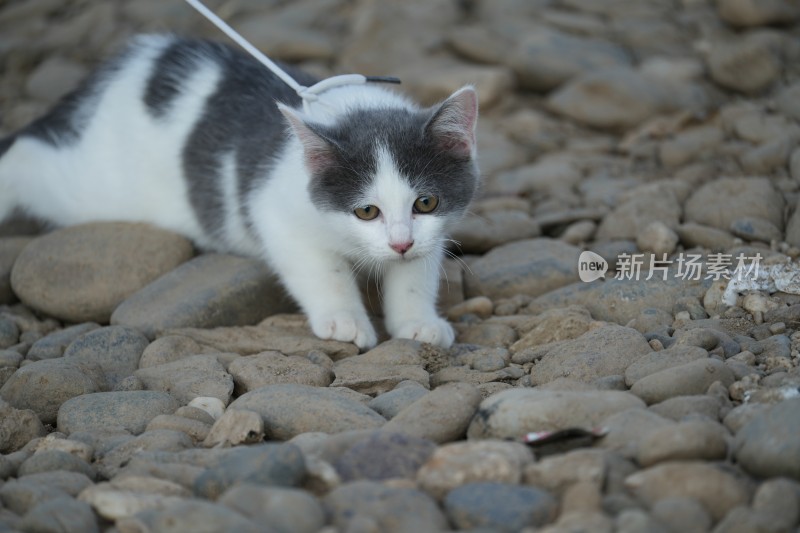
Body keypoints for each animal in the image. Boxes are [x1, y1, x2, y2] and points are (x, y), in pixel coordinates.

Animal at [0, 34, 478, 350]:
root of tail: (139, 60)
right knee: (27, 156)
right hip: (96, 187)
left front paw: (418, 320)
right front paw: (343, 318)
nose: (400, 242)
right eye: (366, 211)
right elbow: (322, 270)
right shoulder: (276, 213)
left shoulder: (434, 231)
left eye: (425, 202)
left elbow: (415, 273)